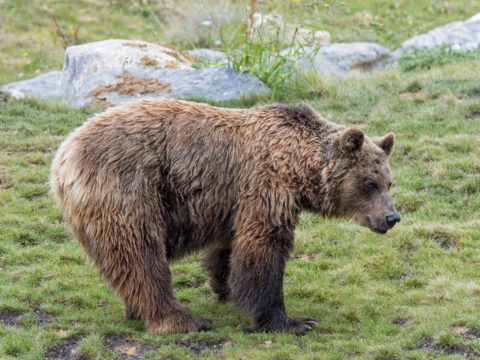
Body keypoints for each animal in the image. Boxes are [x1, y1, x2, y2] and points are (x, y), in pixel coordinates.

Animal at [50, 98, 400, 334]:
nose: (391, 217)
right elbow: (263, 251)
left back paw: (137, 311)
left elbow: (228, 249)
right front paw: (291, 320)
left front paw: (226, 288)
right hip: (130, 190)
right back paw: (182, 319)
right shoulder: (265, 187)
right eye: (369, 183)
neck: (298, 168)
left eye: (388, 182)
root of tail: (63, 157)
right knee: (141, 257)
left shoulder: (232, 202)